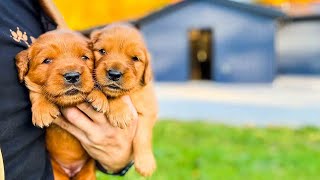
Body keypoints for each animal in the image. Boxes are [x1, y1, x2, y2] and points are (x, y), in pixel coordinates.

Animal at [15, 29, 107, 180]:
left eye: (84, 57)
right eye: (47, 60)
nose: (73, 76)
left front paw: (99, 97)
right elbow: (35, 90)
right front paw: (43, 110)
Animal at [90, 23, 158, 176]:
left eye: (135, 58)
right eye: (102, 51)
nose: (114, 74)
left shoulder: (149, 109)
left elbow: (143, 136)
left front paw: (145, 163)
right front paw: (119, 112)